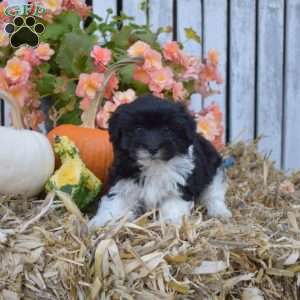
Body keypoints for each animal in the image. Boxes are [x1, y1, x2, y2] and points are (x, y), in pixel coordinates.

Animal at [88, 95, 231, 226]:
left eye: (166, 129)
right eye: (138, 129)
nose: (152, 148)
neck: (154, 165)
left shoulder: (179, 186)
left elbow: (173, 206)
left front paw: (170, 223)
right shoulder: (122, 181)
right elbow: (115, 202)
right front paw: (101, 222)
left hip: (214, 170)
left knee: (214, 194)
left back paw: (220, 212)